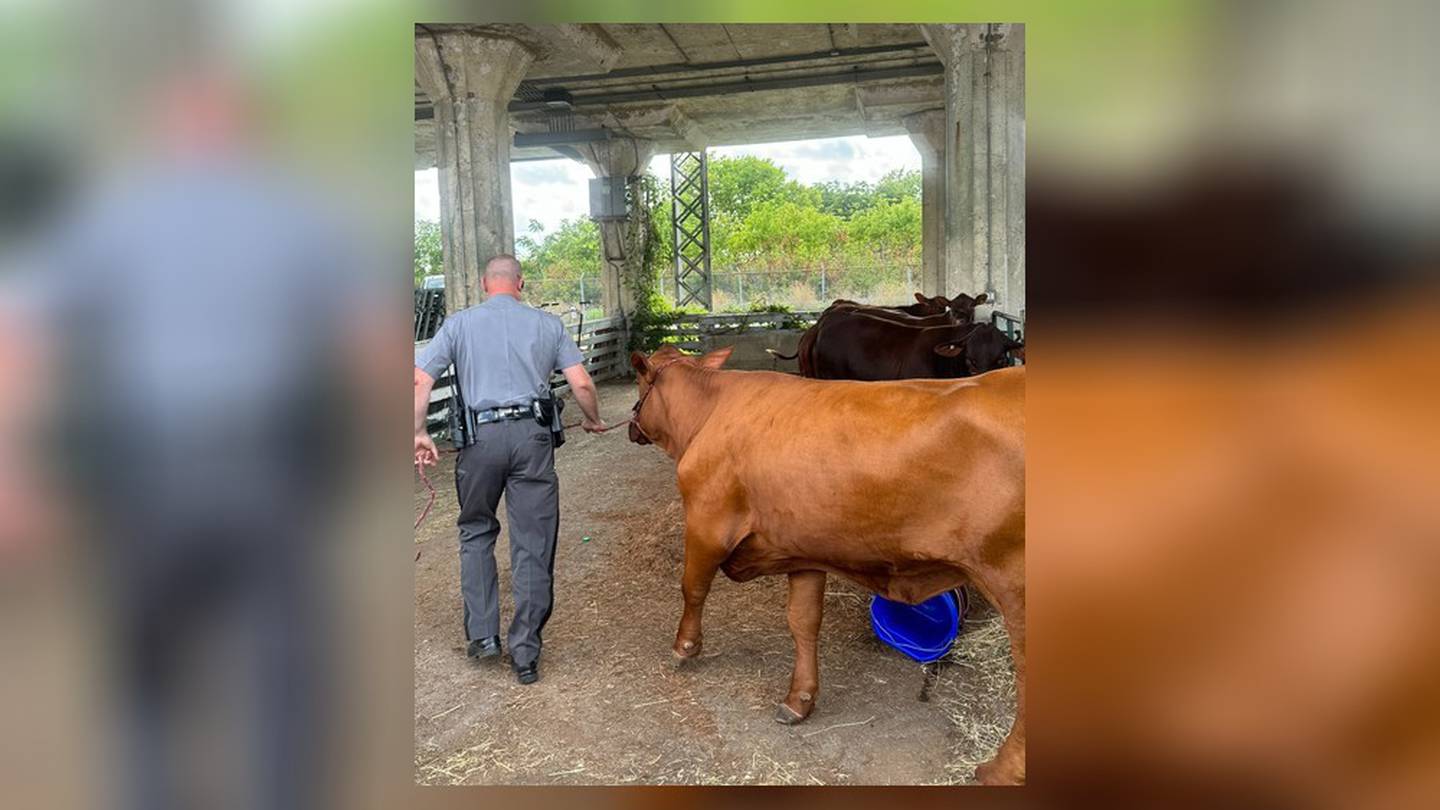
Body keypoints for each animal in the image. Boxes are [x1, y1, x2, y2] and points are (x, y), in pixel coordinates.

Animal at [627, 341, 1025, 784]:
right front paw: (799, 700)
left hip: (1014, 583)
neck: (710, 412)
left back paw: (1000, 769)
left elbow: (693, 586)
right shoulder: (804, 551)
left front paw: (684, 648)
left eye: (639, 382)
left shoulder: (706, 523)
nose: (631, 427)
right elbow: (803, 621)